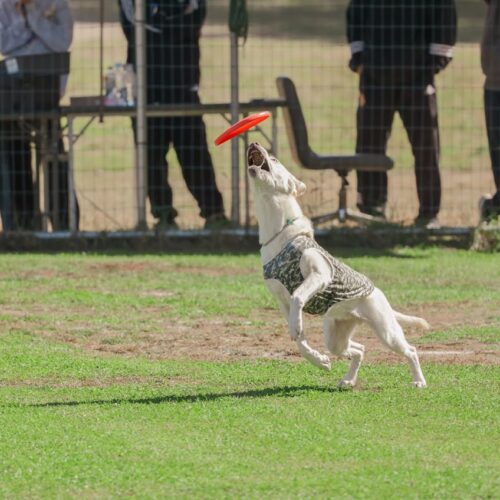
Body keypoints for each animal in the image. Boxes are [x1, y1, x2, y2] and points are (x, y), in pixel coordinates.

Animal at [248, 143, 428, 388]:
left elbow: (298, 297)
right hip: (337, 334)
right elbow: (299, 340)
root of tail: (377, 293)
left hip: (386, 330)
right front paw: (319, 360)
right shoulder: (282, 301)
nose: (254, 143)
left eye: (274, 159)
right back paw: (348, 380)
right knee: (359, 349)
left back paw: (419, 381)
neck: (279, 236)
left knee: (410, 349)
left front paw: (299, 331)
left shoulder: (319, 275)